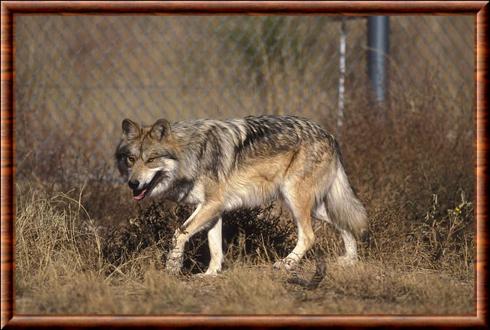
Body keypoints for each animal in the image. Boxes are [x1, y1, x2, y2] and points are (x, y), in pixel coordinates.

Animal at [115, 114, 368, 274]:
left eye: (150, 160)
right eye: (131, 159)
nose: (133, 183)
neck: (191, 154)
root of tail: (330, 135)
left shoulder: (212, 205)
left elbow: (178, 234)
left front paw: (172, 268)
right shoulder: (213, 209)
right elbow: (215, 248)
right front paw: (210, 274)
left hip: (295, 200)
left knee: (309, 236)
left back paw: (286, 264)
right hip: (314, 206)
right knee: (345, 223)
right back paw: (350, 261)